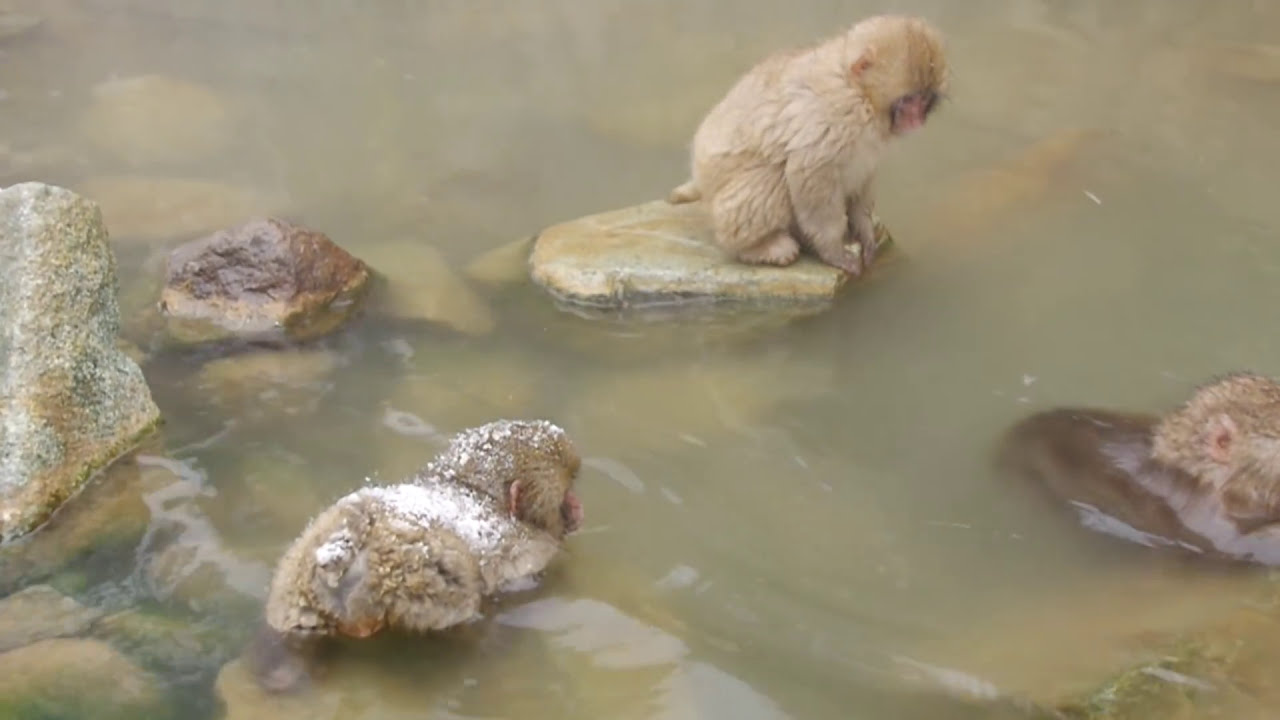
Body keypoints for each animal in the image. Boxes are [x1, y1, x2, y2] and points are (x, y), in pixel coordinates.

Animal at [243, 419, 584, 692]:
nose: (579, 508)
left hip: (297, 575)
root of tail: (354, 534)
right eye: (566, 495)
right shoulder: (534, 549)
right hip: (411, 583)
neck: (474, 490)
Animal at [667, 14, 948, 277]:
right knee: (773, 175)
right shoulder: (832, 114)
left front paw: (865, 231)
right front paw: (833, 250)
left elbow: (863, 175)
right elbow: (811, 176)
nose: (917, 119)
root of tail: (700, 177)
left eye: (925, 100)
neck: (858, 93)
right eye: (909, 101)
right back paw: (758, 247)